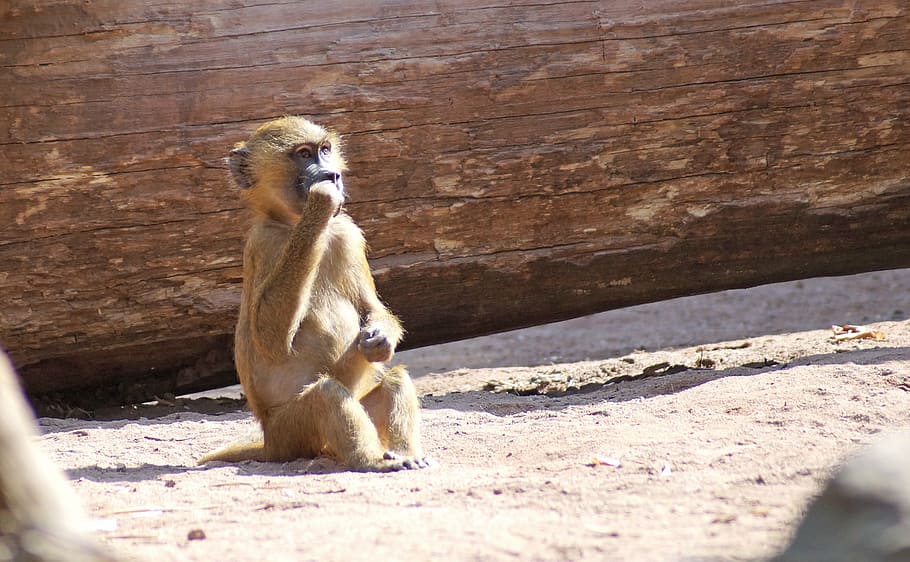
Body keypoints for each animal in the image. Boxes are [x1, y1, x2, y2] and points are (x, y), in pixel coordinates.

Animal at [198, 116, 430, 472]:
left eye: (325, 150)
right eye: (304, 154)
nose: (332, 175)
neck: (292, 224)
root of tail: (269, 441)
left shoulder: (348, 234)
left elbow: (371, 308)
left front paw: (380, 339)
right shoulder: (263, 243)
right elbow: (270, 339)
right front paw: (320, 201)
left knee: (395, 379)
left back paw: (404, 453)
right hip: (293, 431)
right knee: (326, 394)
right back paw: (371, 461)